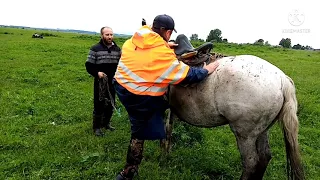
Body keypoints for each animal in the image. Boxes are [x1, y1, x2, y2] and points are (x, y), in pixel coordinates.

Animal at [162, 33, 304, 179]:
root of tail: (282, 79)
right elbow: (168, 130)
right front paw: (166, 153)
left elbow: (164, 131)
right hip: (263, 130)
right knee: (265, 157)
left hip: (245, 134)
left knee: (251, 162)